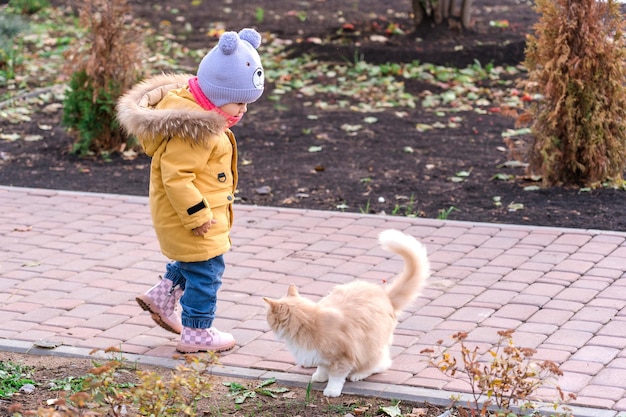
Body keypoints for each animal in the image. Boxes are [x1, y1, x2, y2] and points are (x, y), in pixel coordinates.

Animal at [260, 229, 426, 394]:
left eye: (268, 317)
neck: (308, 323)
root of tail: (383, 294)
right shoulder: (320, 356)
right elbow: (322, 367)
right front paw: (320, 377)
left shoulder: (342, 357)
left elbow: (336, 376)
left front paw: (331, 390)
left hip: (372, 349)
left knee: (381, 364)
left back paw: (359, 374)